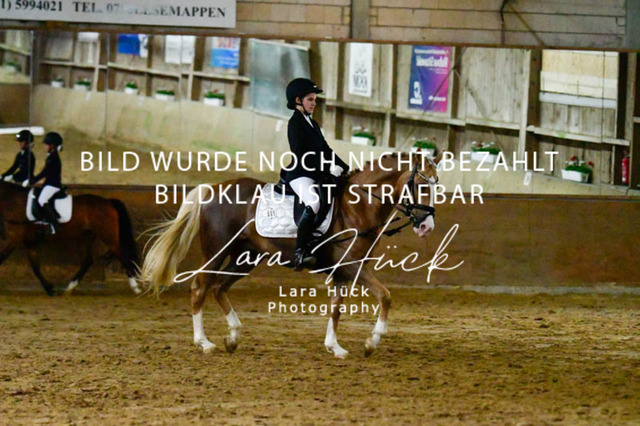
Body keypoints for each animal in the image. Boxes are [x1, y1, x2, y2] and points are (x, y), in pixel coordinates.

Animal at [0, 181, 141, 295]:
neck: (14, 202)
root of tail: (108, 202)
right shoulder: (30, 244)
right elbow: (36, 269)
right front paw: (50, 289)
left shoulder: (12, 240)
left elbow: (2, 259)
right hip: (85, 238)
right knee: (87, 261)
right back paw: (69, 288)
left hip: (108, 236)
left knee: (123, 256)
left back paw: (135, 288)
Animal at [140, 152, 440, 358]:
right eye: (422, 185)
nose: (427, 226)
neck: (358, 206)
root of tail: (213, 188)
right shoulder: (352, 266)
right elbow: (385, 296)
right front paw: (371, 342)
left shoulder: (342, 271)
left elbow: (336, 307)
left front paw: (334, 347)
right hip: (217, 250)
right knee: (200, 287)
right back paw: (204, 342)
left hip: (245, 257)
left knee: (218, 287)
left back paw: (233, 336)